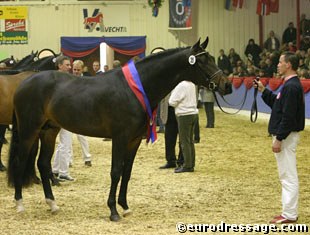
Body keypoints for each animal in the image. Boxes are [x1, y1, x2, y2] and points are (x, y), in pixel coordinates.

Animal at [7, 37, 232, 221]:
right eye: (202, 61)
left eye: (212, 58)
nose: (227, 85)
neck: (133, 89)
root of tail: (24, 82)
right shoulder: (120, 138)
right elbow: (116, 172)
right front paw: (113, 211)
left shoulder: (134, 140)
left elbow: (127, 172)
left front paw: (125, 206)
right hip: (29, 130)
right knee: (21, 161)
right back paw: (19, 204)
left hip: (49, 131)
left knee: (43, 163)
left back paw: (52, 204)